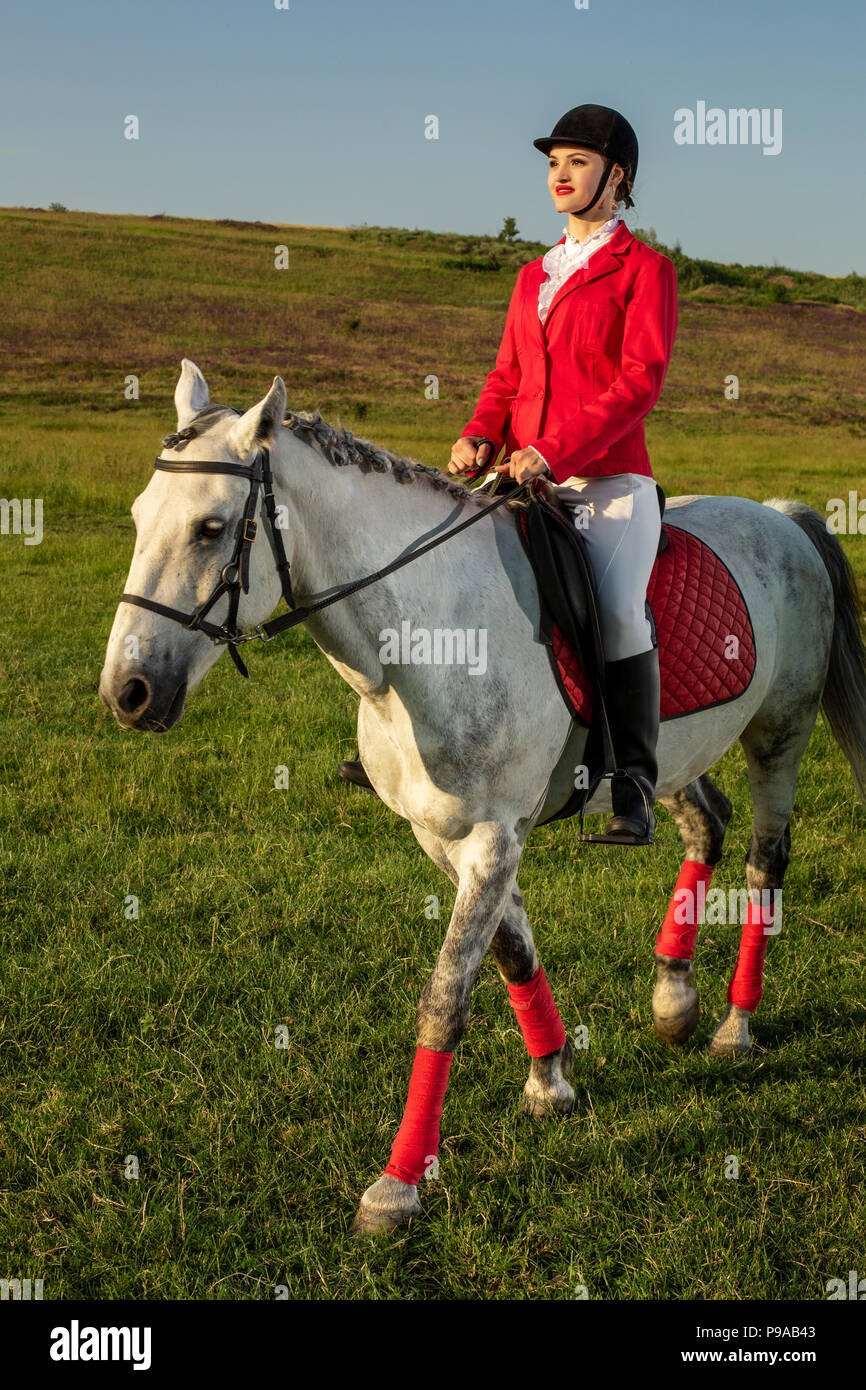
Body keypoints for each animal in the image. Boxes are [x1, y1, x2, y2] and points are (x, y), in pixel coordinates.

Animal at [100, 364, 866, 1234]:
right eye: (138, 518)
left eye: (211, 528)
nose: (127, 692)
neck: (422, 638)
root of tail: (779, 517)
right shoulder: (445, 838)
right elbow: (510, 954)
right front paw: (552, 1082)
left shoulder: (495, 837)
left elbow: (445, 999)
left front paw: (397, 1185)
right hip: (671, 756)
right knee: (705, 825)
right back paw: (674, 999)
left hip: (781, 735)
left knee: (765, 862)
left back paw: (736, 1025)